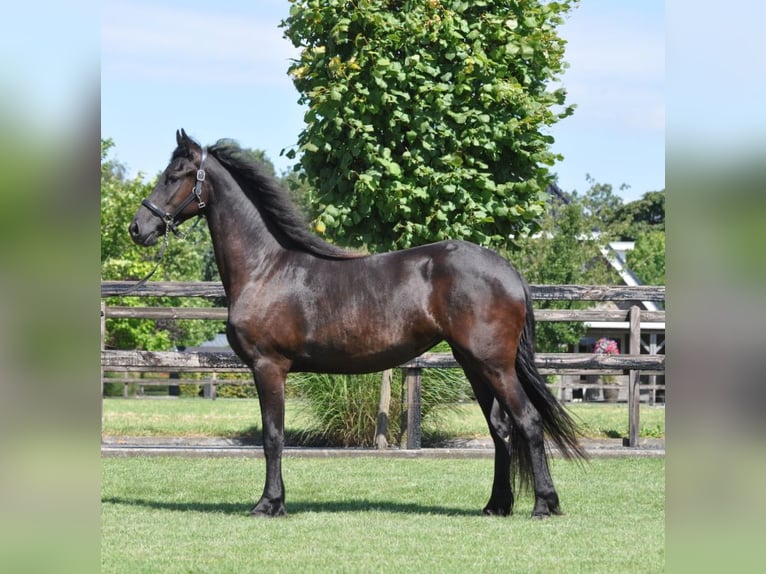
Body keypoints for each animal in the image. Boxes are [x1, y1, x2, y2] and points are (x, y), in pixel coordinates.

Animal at [132, 133, 588, 520]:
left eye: (174, 175)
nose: (139, 228)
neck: (266, 268)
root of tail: (508, 271)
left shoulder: (268, 367)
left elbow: (273, 436)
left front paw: (269, 504)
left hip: (494, 365)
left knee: (527, 421)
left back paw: (544, 505)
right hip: (474, 365)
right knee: (501, 429)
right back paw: (496, 505)